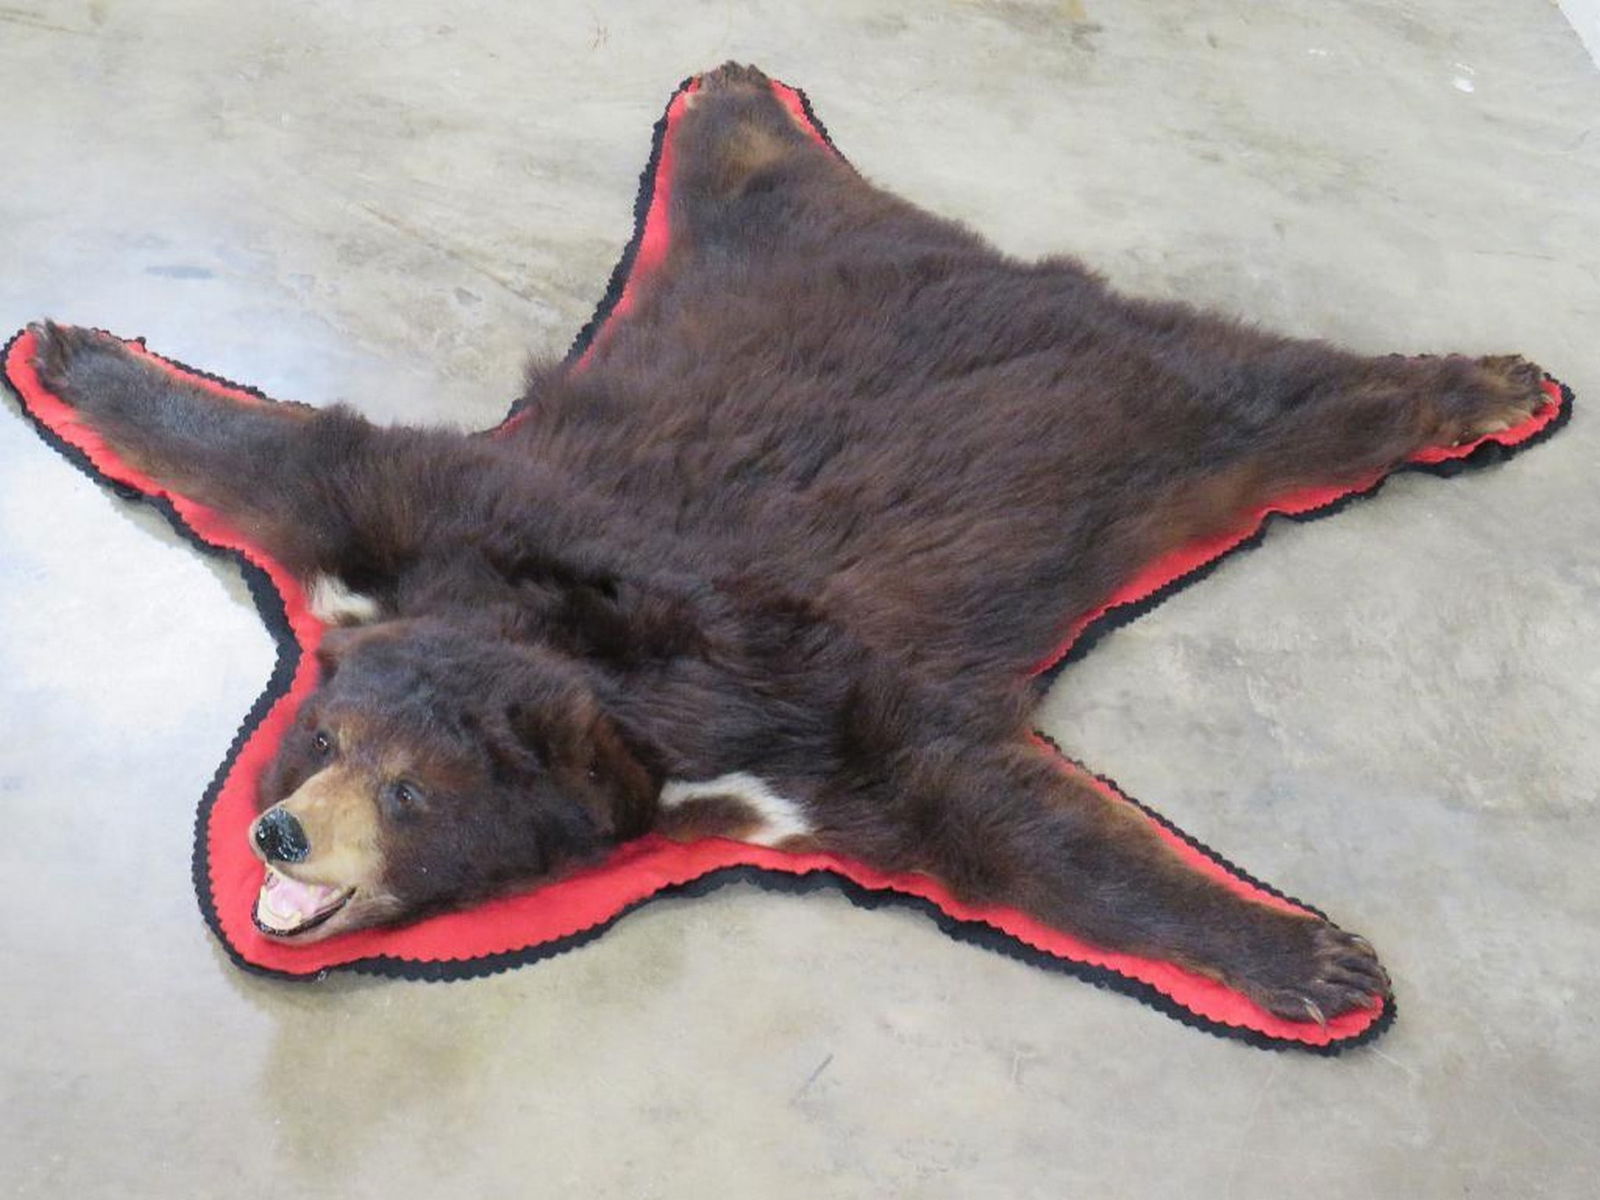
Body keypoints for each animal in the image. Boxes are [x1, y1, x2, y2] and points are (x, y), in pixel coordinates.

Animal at [25, 63, 1550, 1024]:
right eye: (326, 738)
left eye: (410, 794)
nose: (278, 829)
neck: (594, 664)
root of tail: (1006, 266)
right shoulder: (442, 525)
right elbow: (302, 460)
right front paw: (75, 354)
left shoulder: (803, 704)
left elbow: (993, 812)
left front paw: (1311, 959)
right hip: (760, 252)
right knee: (756, 179)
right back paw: (739, 96)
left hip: (1171, 416)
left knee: (1299, 399)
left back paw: (1492, 385)